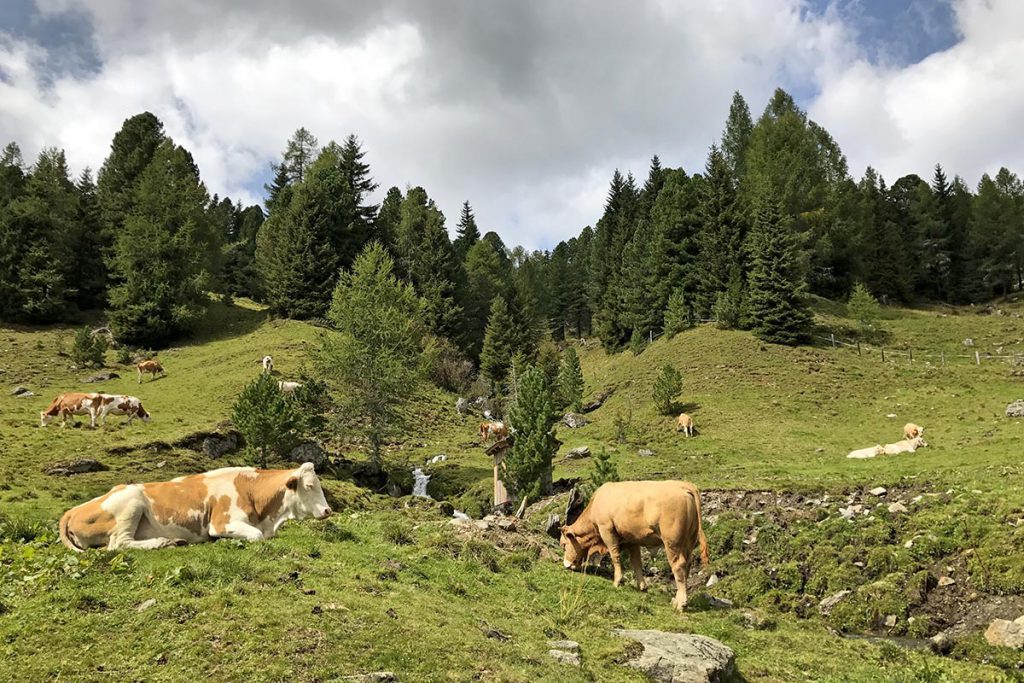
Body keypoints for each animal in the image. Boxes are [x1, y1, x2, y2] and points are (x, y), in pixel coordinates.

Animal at [58, 462, 331, 552]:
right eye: (309, 486)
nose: (328, 510)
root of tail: (72, 510)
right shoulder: (222, 523)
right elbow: (255, 536)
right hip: (131, 502)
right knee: (119, 544)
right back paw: (163, 542)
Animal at [561, 479, 712, 610]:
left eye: (563, 544)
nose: (566, 564)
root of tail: (684, 485)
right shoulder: (632, 540)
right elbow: (636, 562)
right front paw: (642, 586)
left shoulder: (607, 530)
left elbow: (615, 556)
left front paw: (617, 582)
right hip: (689, 541)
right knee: (687, 565)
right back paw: (677, 600)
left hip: (672, 542)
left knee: (679, 565)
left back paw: (681, 604)